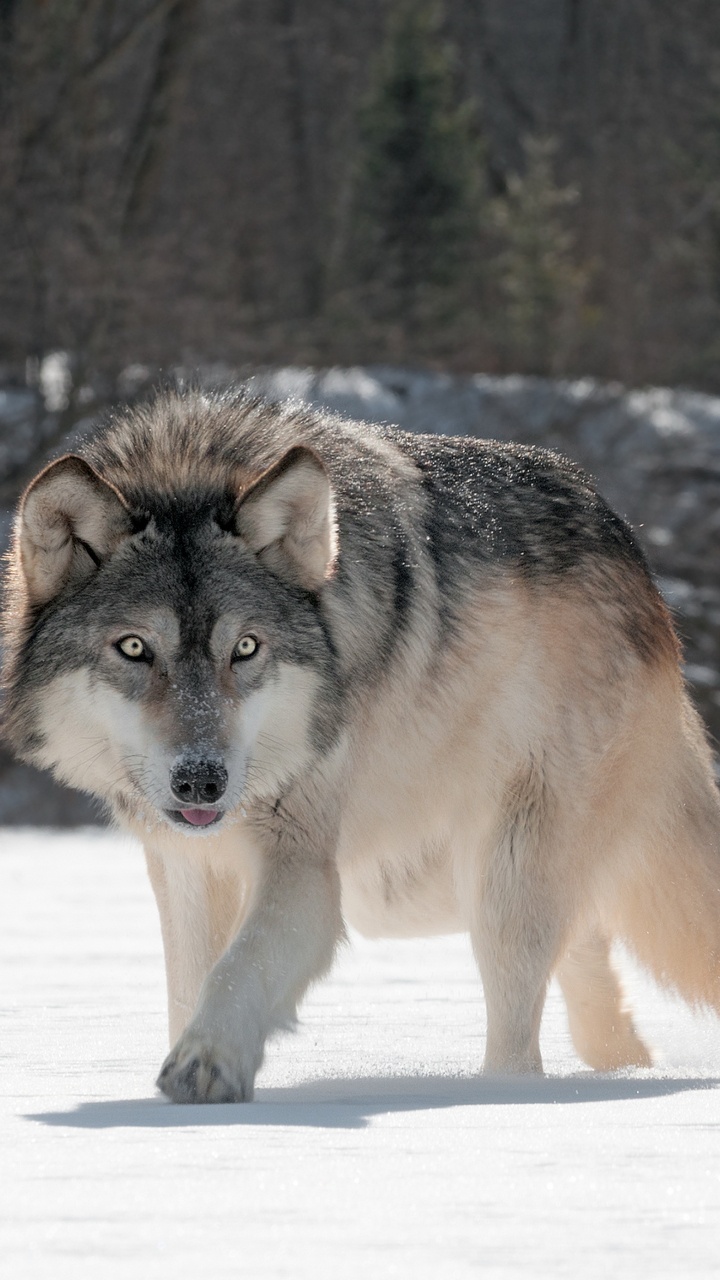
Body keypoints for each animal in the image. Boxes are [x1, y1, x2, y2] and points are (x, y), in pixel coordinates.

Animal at [3, 386, 720, 1102]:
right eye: (134, 648)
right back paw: (623, 1068)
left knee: (521, 1037)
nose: (202, 780)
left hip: (498, 877)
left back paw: (503, 1095)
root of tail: (636, 559)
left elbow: (239, 968)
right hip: (417, 885)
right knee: (590, 959)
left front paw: (205, 1064)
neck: (192, 467)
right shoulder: (188, 864)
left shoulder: (302, 864)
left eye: (246, 648)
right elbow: (193, 983)